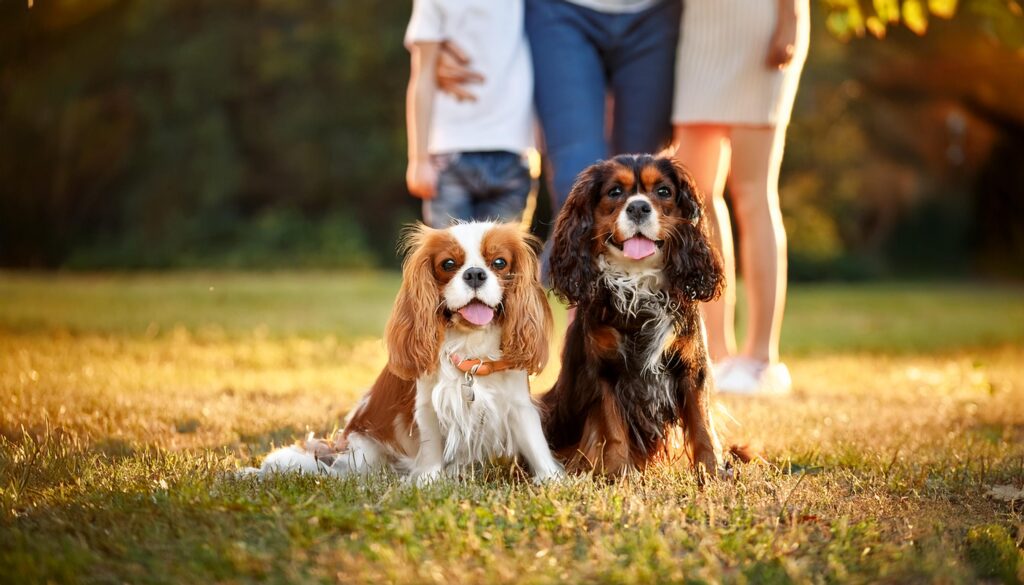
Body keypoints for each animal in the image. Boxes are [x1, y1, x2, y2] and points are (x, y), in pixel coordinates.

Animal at [251, 221, 565, 485]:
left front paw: (551, 480)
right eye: (448, 264)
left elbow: (534, 441)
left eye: (499, 262)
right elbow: (431, 446)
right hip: (364, 454)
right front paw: (427, 481)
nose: (475, 274)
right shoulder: (428, 405)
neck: (470, 345)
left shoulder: (518, 404)